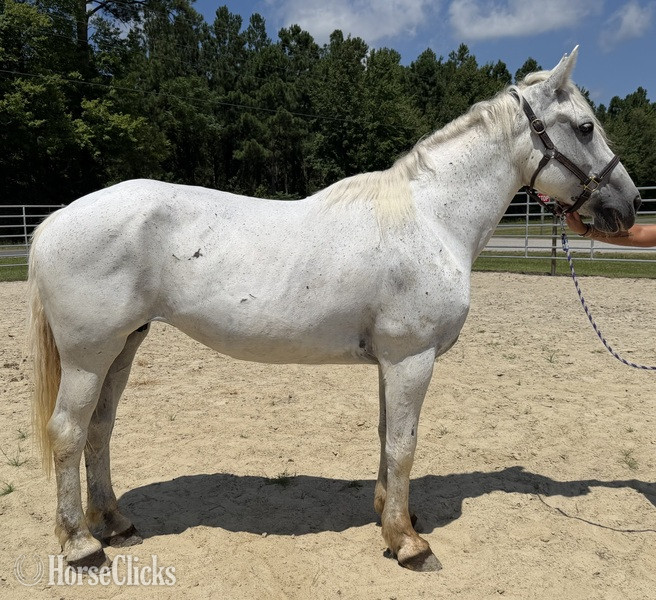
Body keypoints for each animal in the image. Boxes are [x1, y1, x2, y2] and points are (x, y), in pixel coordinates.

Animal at [28, 46, 640, 572]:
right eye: (585, 127)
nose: (629, 206)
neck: (430, 219)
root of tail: (53, 223)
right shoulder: (412, 359)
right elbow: (404, 444)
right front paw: (409, 544)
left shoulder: (391, 363)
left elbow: (387, 437)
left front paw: (391, 516)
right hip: (88, 356)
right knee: (68, 432)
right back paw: (81, 545)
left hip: (124, 347)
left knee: (99, 430)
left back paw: (114, 523)